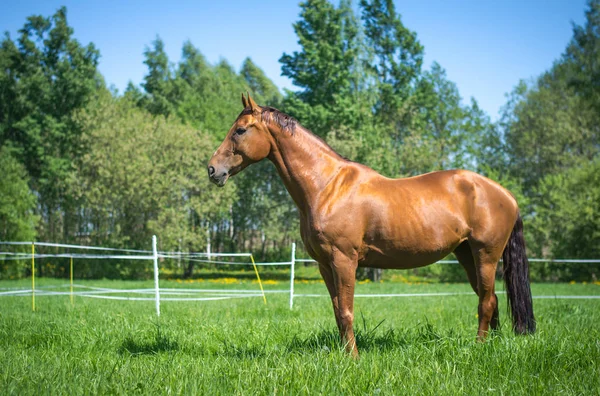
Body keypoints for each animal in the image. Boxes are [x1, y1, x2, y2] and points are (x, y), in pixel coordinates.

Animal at [209, 94, 536, 358]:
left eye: (240, 130)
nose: (213, 170)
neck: (327, 186)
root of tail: (505, 194)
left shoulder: (344, 260)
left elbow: (346, 312)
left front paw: (353, 359)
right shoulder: (325, 265)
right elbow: (337, 311)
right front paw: (345, 355)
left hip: (485, 256)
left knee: (486, 303)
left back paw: (479, 348)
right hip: (467, 255)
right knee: (490, 299)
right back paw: (492, 345)